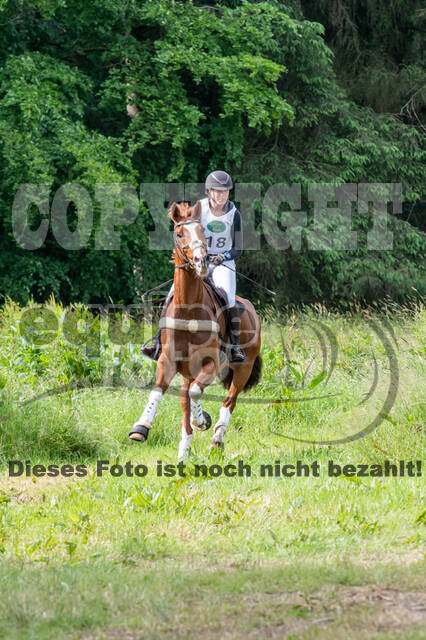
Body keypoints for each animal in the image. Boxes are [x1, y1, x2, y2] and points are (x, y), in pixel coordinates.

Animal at [129, 200, 262, 458]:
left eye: (202, 231)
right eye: (180, 233)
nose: (201, 262)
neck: (189, 309)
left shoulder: (211, 362)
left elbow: (196, 393)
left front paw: (201, 421)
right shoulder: (168, 360)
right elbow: (160, 390)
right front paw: (141, 427)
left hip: (243, 368)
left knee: (228, 401)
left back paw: (216, 439)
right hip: (188, 371)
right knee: (186, 398)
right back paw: (184, 451)